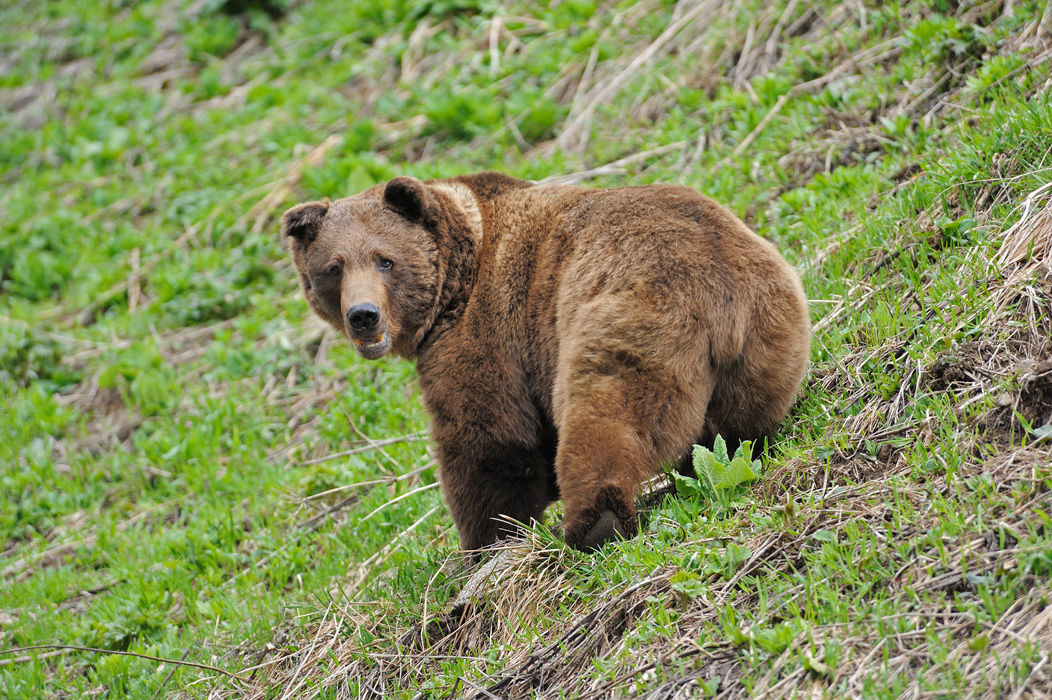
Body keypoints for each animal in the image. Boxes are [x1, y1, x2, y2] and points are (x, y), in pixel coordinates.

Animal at [281, 170, 812, 551]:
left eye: (384, 259)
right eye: (333, 268)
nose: (362, 316)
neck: (458, 277)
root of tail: (723, 298)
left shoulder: (484, 337)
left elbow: (488, 445)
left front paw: (483, 543)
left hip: (625, 319)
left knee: (606, 417)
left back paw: (591, 523)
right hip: (773, 340)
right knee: (741, 428)